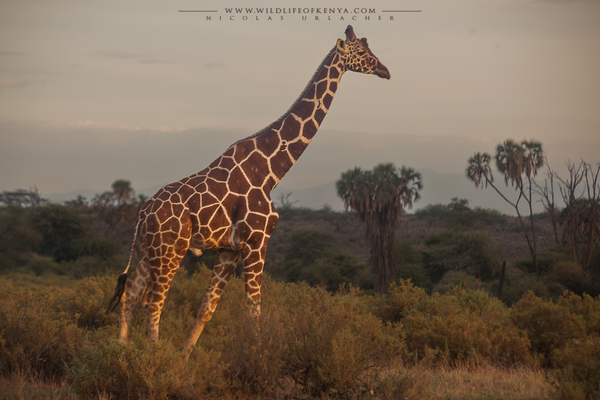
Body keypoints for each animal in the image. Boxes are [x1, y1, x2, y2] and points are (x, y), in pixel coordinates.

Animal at [108, 25, 390, 358]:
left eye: (368, 47)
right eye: (360, 52)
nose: (385, 70)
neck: (271, 172)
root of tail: (142, 212)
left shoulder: (230, 248)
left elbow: (207, 307)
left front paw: (186, 356)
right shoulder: (257, 241)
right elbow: (253, 309)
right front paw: (258, 358)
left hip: (148, 249)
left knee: (130, 294)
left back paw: (121, 350)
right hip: (170, 250)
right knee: (154, 302)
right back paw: (155, 356)